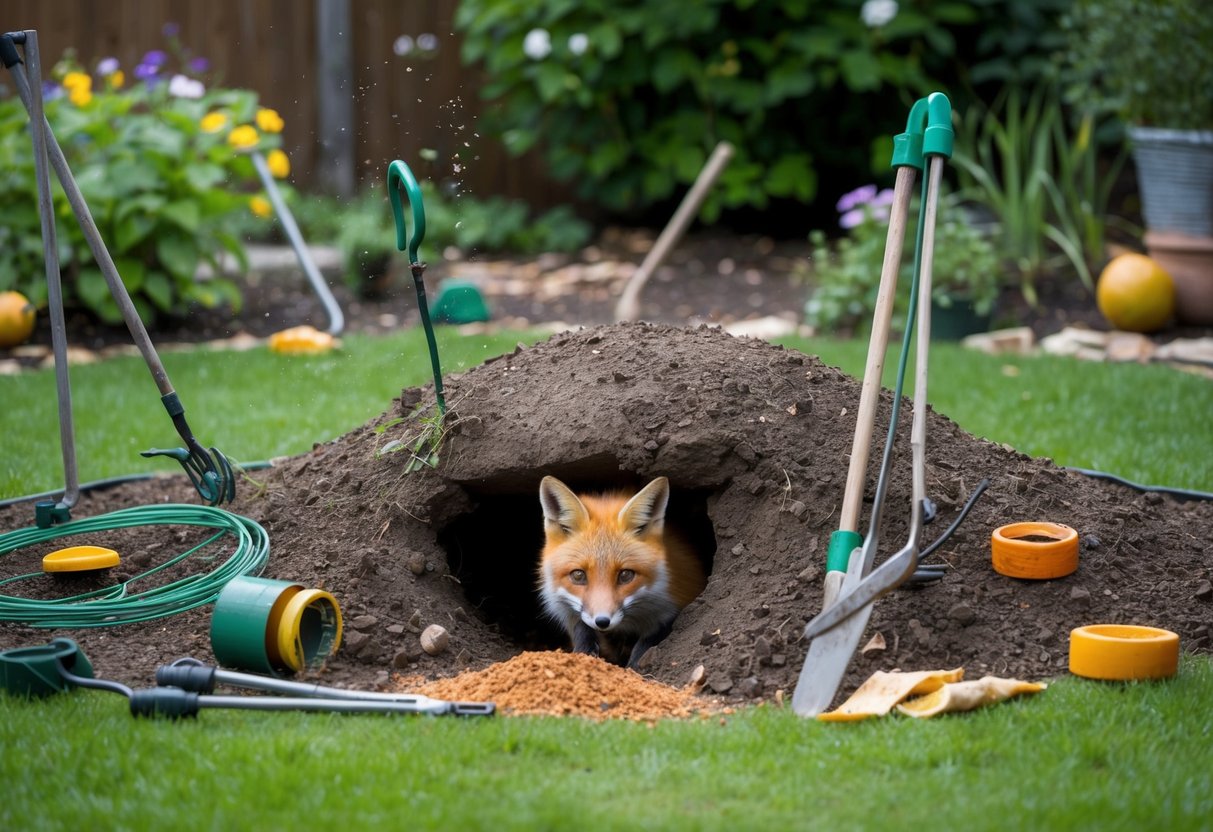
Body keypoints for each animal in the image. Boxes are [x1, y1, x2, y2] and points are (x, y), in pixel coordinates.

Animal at [537, 475, 707, 668]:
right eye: (578, 575)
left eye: (625, 575)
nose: (602, 621)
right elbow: (582, 628)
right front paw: (584, 654)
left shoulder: (676, 600)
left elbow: (646, 643)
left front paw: (634, 667)